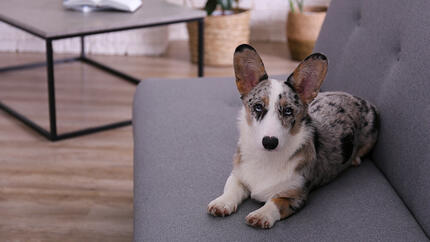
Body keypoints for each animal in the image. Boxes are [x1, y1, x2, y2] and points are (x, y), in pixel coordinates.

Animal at [208, 44, 380, 229]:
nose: (269, 142)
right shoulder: (238, 175)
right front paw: (221, 203)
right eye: (258, 107)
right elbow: (232, 188)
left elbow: (275, 202)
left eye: (288, 111)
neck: (266, 158)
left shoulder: (295, 196)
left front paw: (261, 215)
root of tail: (361, 100)